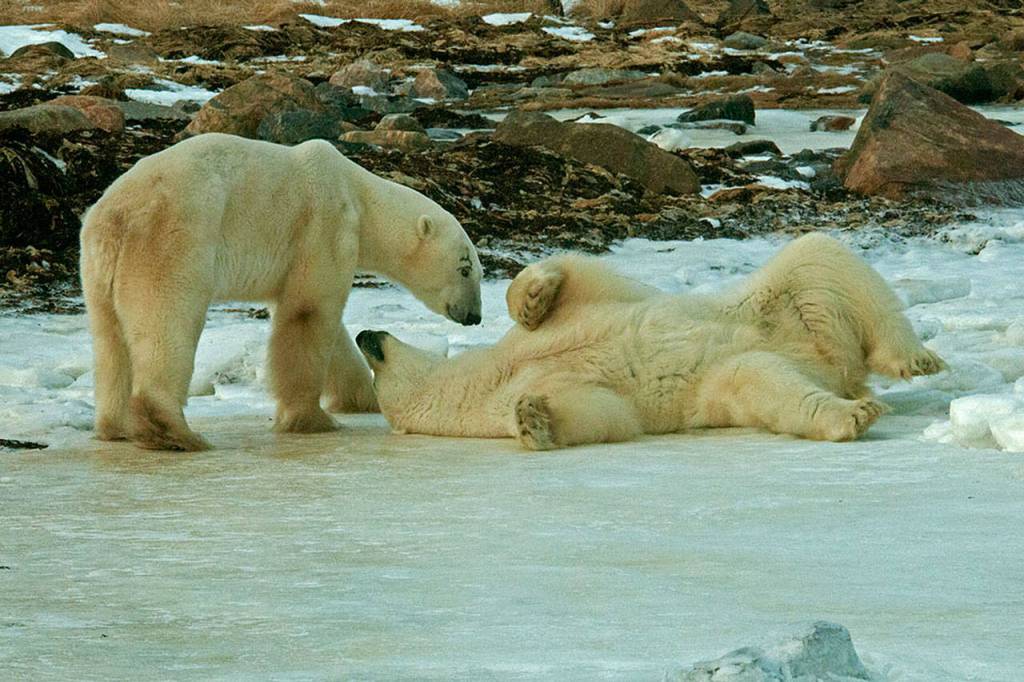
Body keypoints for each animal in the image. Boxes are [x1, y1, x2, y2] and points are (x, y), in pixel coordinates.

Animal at [80, 132, 482, 451]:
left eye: (477, 271)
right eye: (464, 268)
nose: (474, 315)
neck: (358, 193)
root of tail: (118, 217)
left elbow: (327, 328)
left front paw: (362, 397)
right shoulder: (325, 225)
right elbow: (308, 314)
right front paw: (313, 419)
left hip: (98, 264)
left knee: (109, 337)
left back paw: (116, 427)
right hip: (173, 239)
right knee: (167, 323)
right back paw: (175, 434)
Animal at [356, 234, 945, 450]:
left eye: (375, 361)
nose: (364, 333)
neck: (487, 378)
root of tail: (839, 368)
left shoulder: (555, 328)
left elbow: (581, 281)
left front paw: (534, 296)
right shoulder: (524, 394)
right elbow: (599, 415)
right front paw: (533, 420)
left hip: (773, 300)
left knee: (819, 255)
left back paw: (915, 357)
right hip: (729, 380)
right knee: (764, 382)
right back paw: (852, 414)